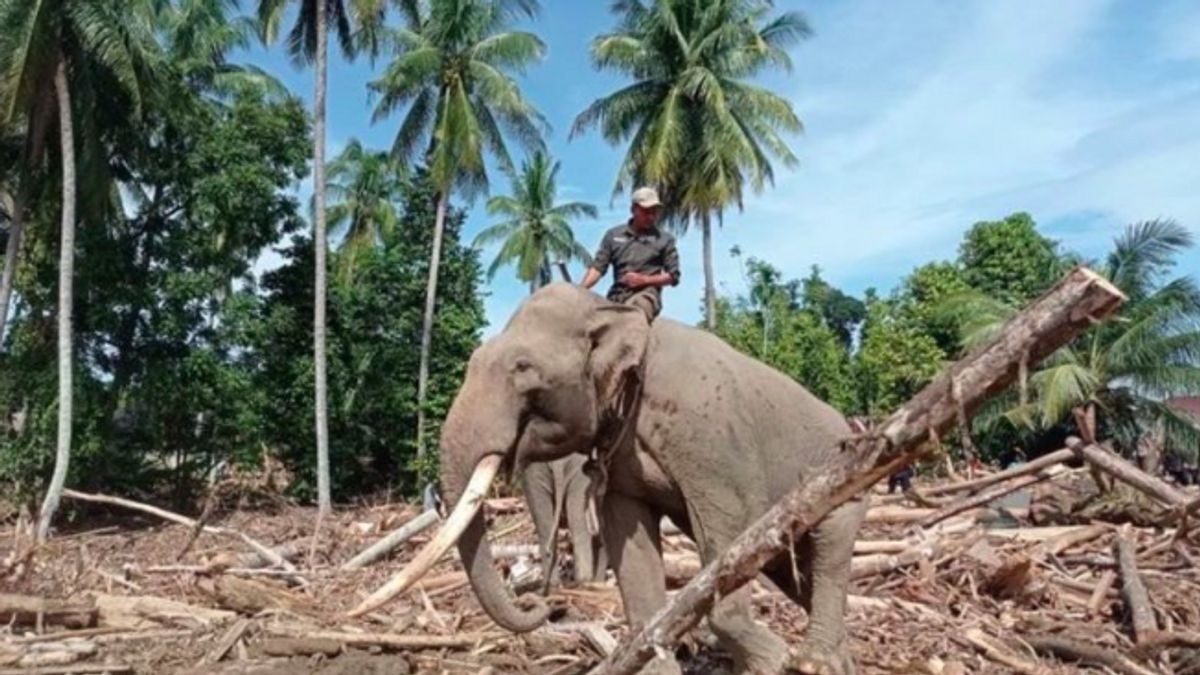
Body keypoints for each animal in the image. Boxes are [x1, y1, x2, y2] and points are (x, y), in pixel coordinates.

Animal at [520, 454, 607, 589]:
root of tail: (557, 462)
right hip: (580, 474)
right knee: (579, 527)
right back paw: (585, 582)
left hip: (532, 472)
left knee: (544, 528)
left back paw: (553, 585)